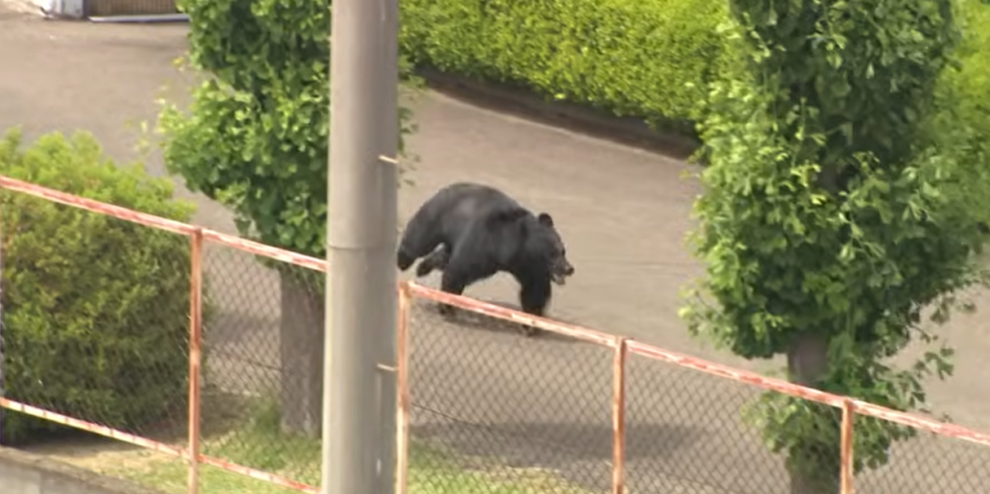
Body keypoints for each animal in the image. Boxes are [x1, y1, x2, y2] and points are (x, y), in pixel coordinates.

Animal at [397, 182, 575, 336]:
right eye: (553, 253)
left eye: (563, 251)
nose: (569, 268)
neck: (518, 249)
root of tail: (452, 186)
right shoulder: (485, 241)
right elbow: (460, 270)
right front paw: (447, 306)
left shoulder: (529, 269)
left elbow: (534, 291)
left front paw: (530, 324)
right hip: (439, 214)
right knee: (420, 239)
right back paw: (403, 261)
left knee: (443, 255)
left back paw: (423, 267)